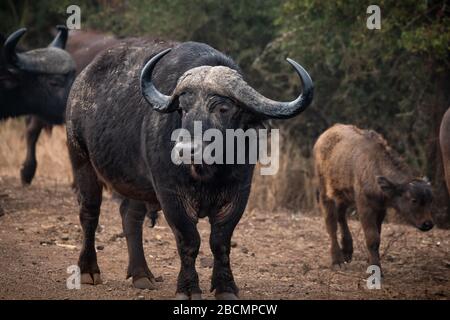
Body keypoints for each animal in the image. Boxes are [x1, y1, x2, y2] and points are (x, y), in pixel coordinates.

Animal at [66, 38, 312, 298]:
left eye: (223, 108)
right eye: (183, 108)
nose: (185, 150)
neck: (209, 173)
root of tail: (81, 81)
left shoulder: (238, 194)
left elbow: (220, 242)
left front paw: (226, 286)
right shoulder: (171, 195)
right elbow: (189, 241)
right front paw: (188, 287)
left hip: (136, 184)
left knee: (130, 216)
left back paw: (141, 274)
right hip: (81, 160)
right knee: (89, 214)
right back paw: (88, 270)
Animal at [312, 124, 432, 272]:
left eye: (430, 200)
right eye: (413, 200)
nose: (428, 224)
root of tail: (326, 133)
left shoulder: (380, 208)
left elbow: (378, 234)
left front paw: (371, 260)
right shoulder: (365, 207)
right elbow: (372, 238)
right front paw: (375, 267)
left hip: (344, 194)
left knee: (341, 215)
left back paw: (347, 250)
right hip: (325, 191)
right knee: (331, 223)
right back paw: (337, 260)